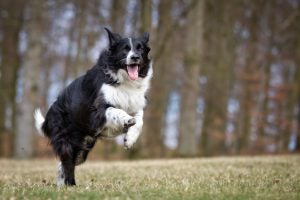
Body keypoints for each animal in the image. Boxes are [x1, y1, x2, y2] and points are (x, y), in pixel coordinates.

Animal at [34, 27, 152, 186]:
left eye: (140, 49)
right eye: (125, 49)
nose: (135, 57)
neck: (125, 81)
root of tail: (49, 116)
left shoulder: (136, 104)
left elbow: (140, 120)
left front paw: (130, 138)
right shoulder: (97, 111)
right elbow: (115, 110)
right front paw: (126, 120)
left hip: (83, 148)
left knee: (63, 165)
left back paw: (61, 185)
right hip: (67, 141)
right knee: (67, 163)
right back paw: (70, 185)